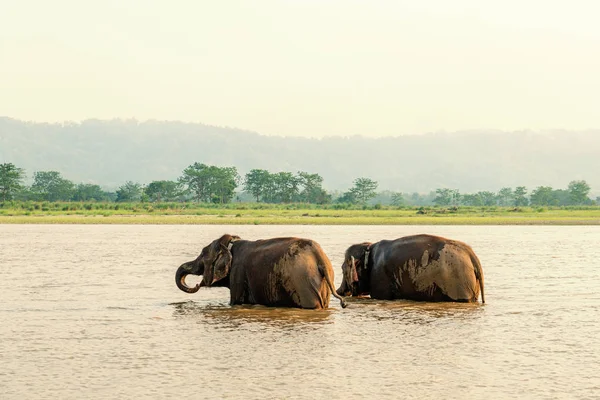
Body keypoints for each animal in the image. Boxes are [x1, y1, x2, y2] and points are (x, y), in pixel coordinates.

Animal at [173, 234, 346, 310]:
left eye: (203, 254)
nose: (197, 284)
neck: (230, 242)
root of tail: (318, 256)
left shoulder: (237, 273)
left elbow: (236, 302)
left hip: (303, 283)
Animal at [336, 233, 486, 302]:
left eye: (343, 270)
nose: (339, 291)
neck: (368, 247)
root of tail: (472, 256)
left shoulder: (379, 277)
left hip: (458, 283)